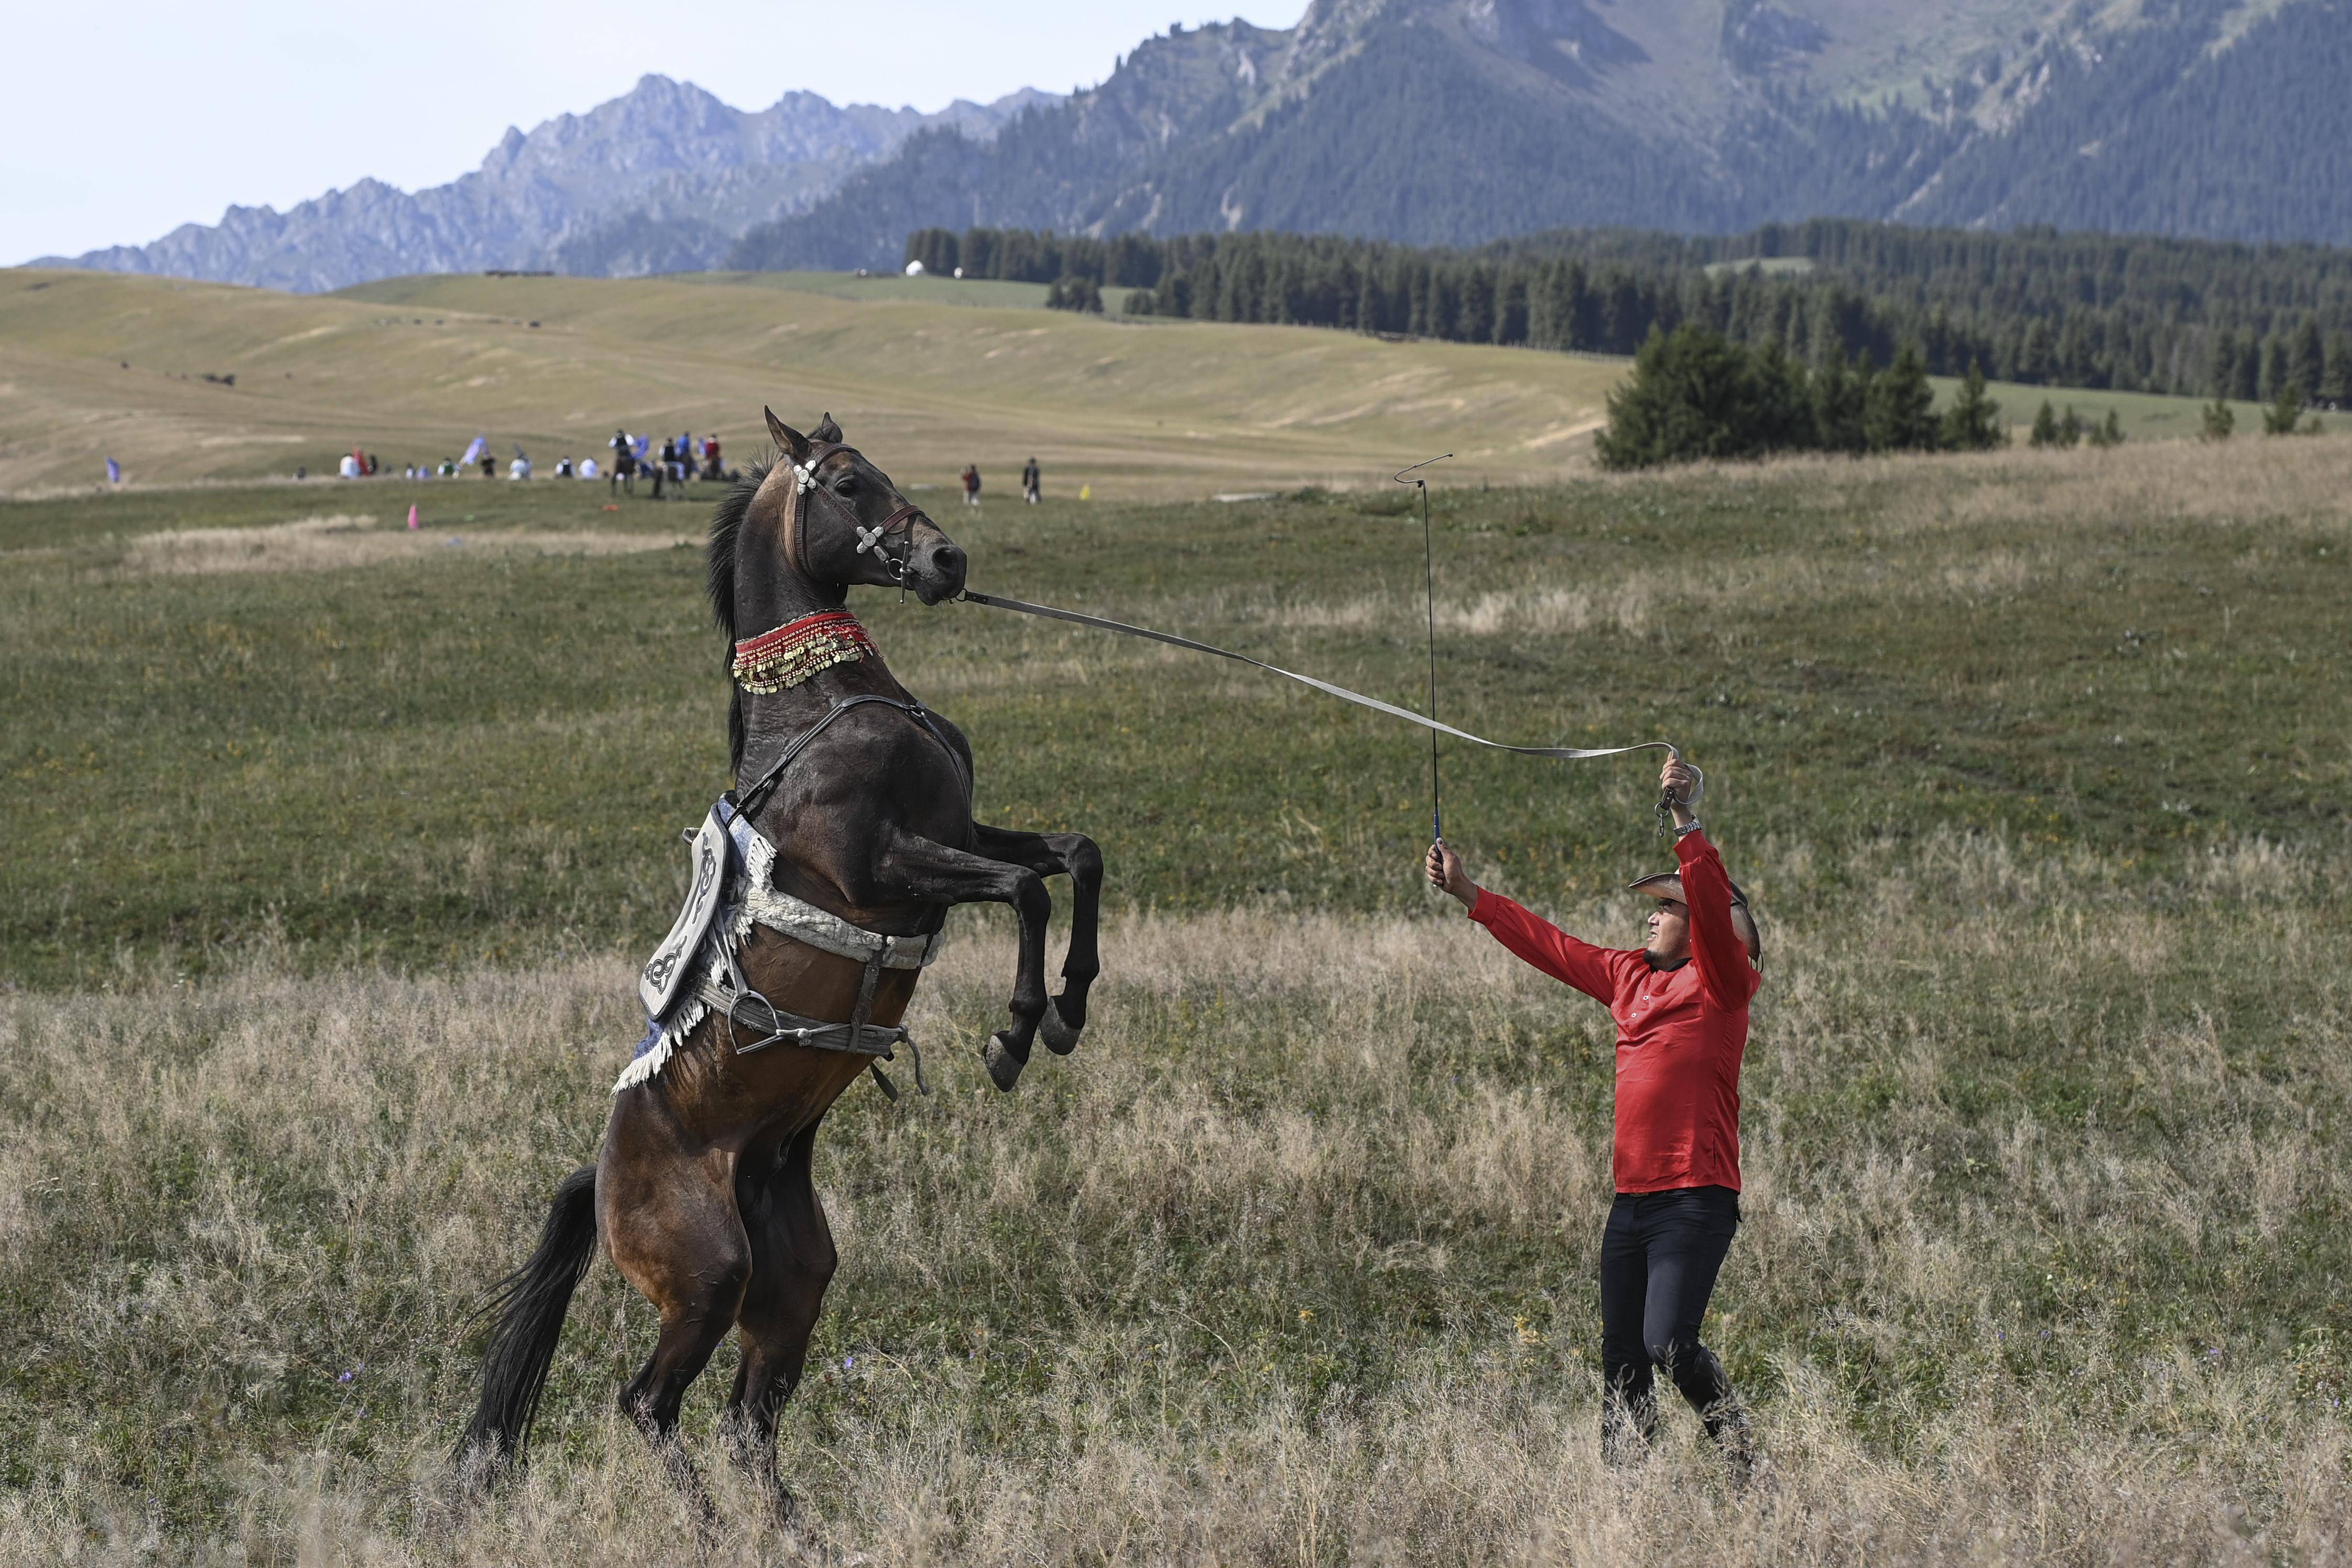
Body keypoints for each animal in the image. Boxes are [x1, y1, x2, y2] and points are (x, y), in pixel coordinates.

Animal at [468, 411, 1110, 1513]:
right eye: (848, 484)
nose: (947, 560)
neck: (822, 711)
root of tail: (601, 1179)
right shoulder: (887, 865)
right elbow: (1025, 890)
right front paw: (1019, 1030)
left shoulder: (961, 832)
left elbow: (1073, 855)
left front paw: (1069, 1003)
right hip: (709, 1275)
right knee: (649, 1403)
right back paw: (713, 1527)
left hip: (794, 1280)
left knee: (747, 1419)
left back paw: (792, 1531)